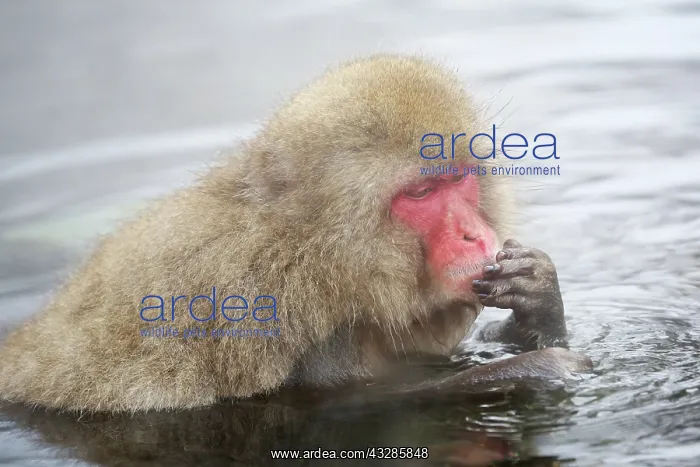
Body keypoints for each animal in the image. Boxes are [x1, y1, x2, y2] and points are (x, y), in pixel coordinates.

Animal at [0, 54, 592, 413]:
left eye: (458, 178)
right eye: (421, 193)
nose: (474, 234)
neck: (318, 250)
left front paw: (538, 299)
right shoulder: (264, 300)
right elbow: (339, 405)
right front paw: (538, 368)